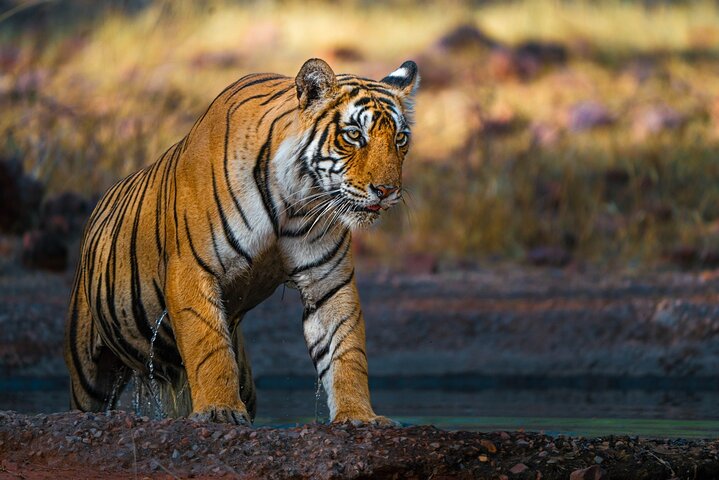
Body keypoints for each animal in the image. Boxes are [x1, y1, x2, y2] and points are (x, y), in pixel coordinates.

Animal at [64, 58, 419, 425]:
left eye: (400, 139)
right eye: (353, 135)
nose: (387, 191)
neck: (294, 202)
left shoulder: (328, 280)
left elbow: (346, 349)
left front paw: (359, 415)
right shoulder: (193, 269)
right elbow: (208, 348)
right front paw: (219, 410)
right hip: (88, 371)